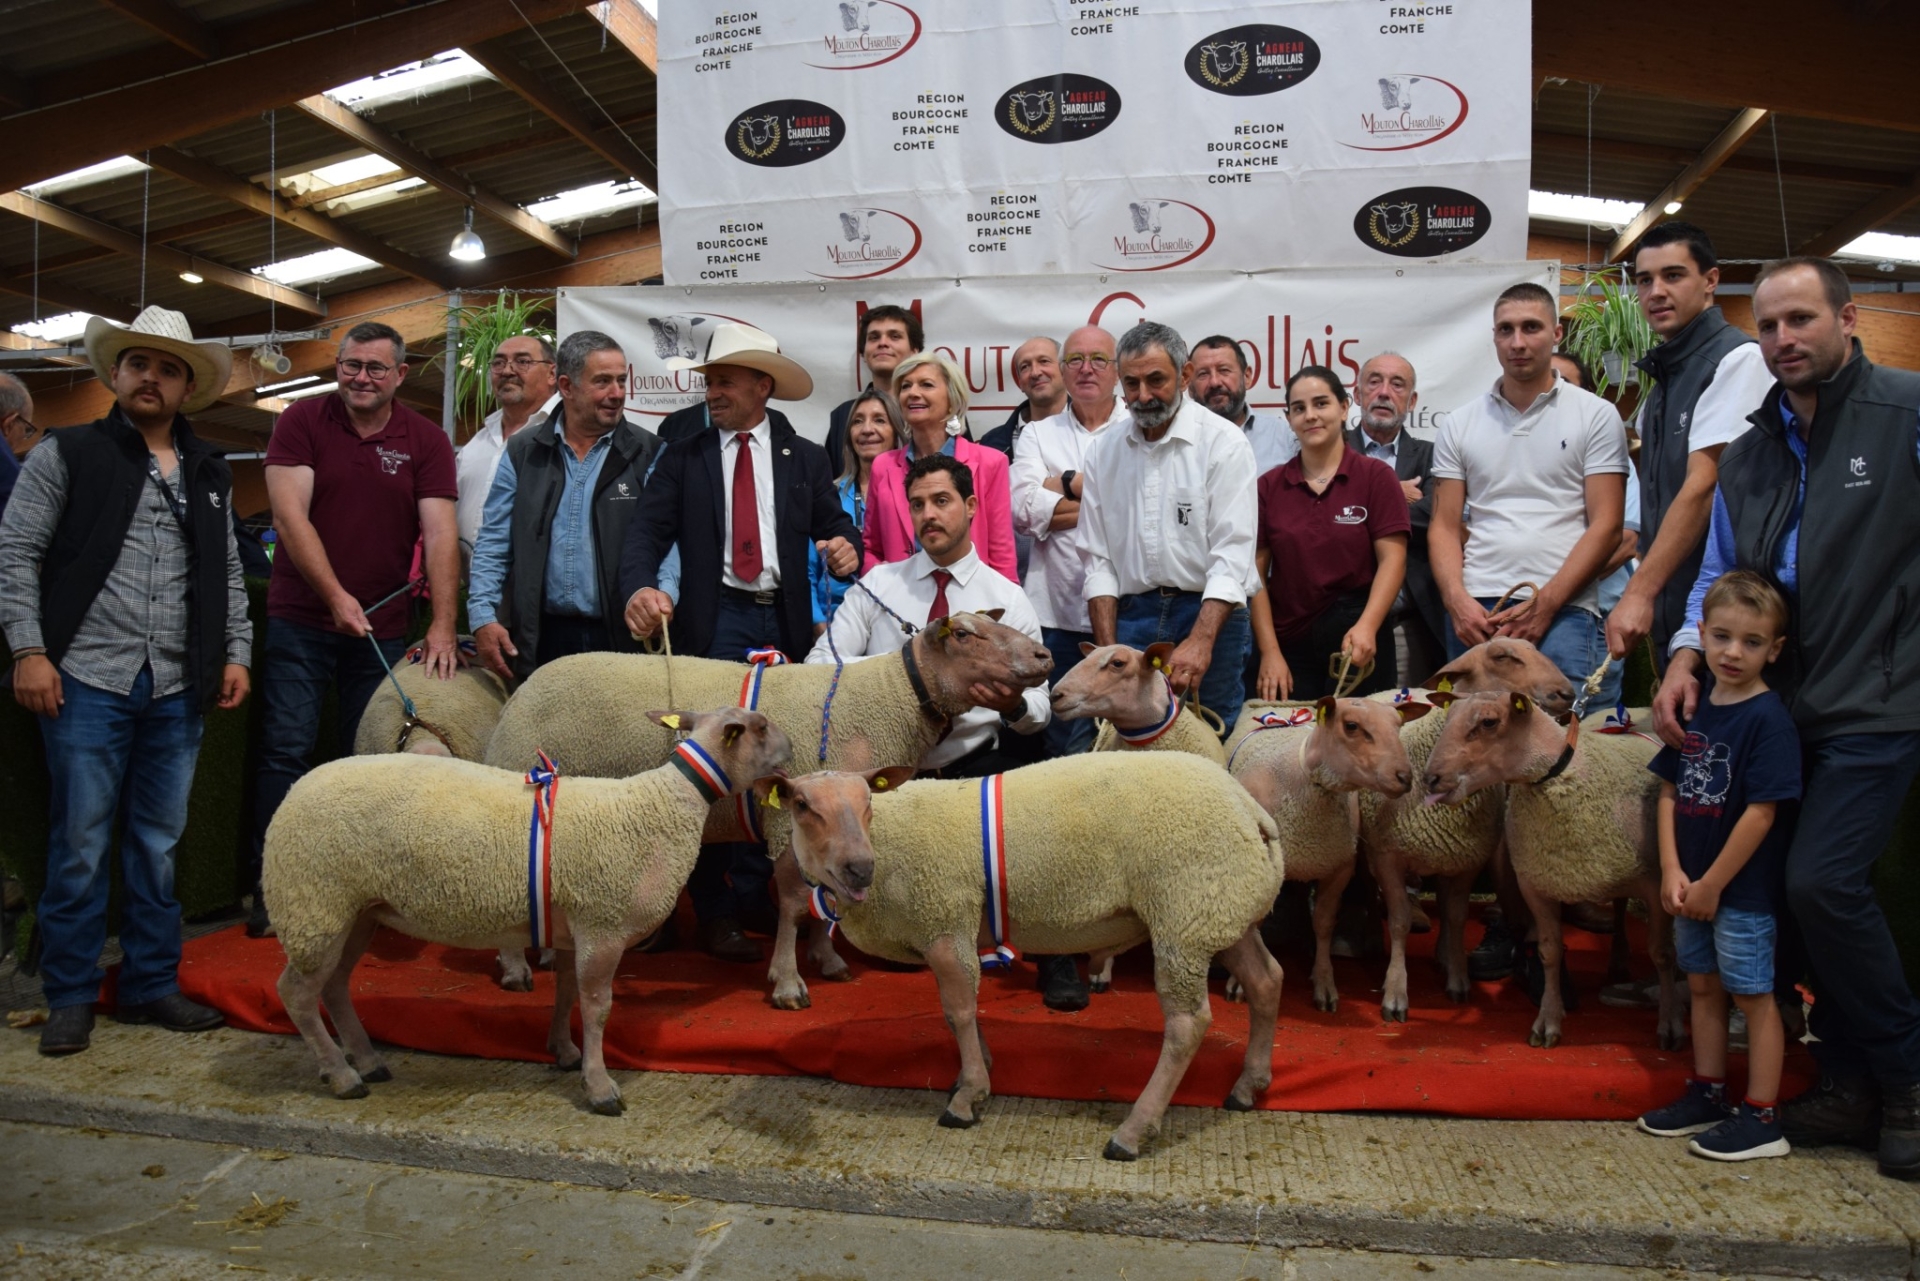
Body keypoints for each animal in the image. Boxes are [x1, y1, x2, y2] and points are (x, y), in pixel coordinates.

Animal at [266, 706, 791, 1113]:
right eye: (762, 726)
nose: (792, 749)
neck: (664, 806)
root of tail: (292, 793)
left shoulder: (572, 925)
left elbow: (566, 995)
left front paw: (564, 1051)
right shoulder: (603, 926)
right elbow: (598, 1007)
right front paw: (599, 1087)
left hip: (355, 911)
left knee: (334, 986)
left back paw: (368, 1061)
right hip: (314, 904)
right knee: (296, 993)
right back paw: (342, 1076)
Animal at [478, 614, 1052, 1014]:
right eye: (966, 635)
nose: (1045, 654)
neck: (890, 697)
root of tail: (519, 692)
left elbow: (827, 894)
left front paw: (826, 958)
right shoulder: (787, 819)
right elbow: (796, 903)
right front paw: (788, 981)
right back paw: (514, 970)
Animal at [771, 752, 1282, 1160]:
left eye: (867, 801)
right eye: (802, 805)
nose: (859, 868)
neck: (888, 841)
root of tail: (1251, 810)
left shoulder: (945, 920)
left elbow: (958, 1012)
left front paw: (968, 1097)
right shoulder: (953, 930)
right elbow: (963, 1010)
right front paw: (975, 1070)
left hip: (1183, 914)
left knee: (1187, 1023)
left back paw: (1132, 1131)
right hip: (1222, 911)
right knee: (1266, 981)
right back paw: (1248, 1086)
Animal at [1428, 691, 1681, 1052]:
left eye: (1489, 722)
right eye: (1448, 718)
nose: (1429, 778)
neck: (1559, 779)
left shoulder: (1658, 885)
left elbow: (1662, 954)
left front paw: (1670, 1024)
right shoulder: (1538, 884)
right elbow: (1548, 953)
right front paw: (1548, 1020)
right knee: (1619, 907)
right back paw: (1618, 959)